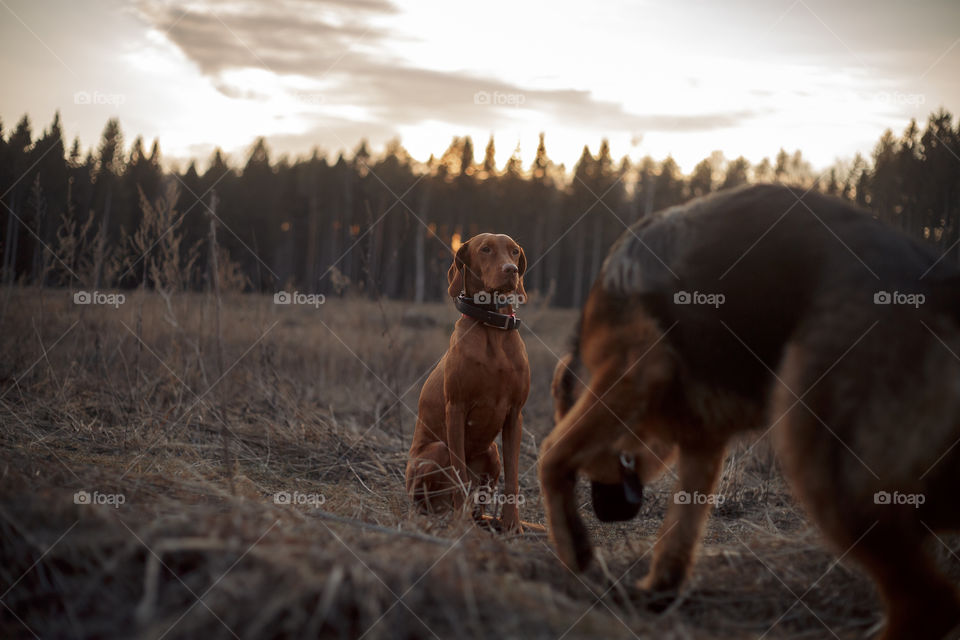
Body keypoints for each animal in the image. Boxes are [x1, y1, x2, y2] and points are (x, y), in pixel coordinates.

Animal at [402, 232, 528, 532]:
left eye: (515, 252)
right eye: (485, 249)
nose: (511, 271)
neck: (492, 326)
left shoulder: (515, 415)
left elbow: (513, 477)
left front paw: (512, 524)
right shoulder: (456, 409)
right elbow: (459, 471)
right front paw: (460, 525)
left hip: (491, 453)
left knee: (480, 499)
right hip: (435, 452)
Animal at [536, 182, 960, 636]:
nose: (607, 513)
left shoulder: (631, 370)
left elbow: (552, 455)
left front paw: (578, 555)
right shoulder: (703, 445)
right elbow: (680, 530)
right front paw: (657, 592)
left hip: (820, 456)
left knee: (931, 601)